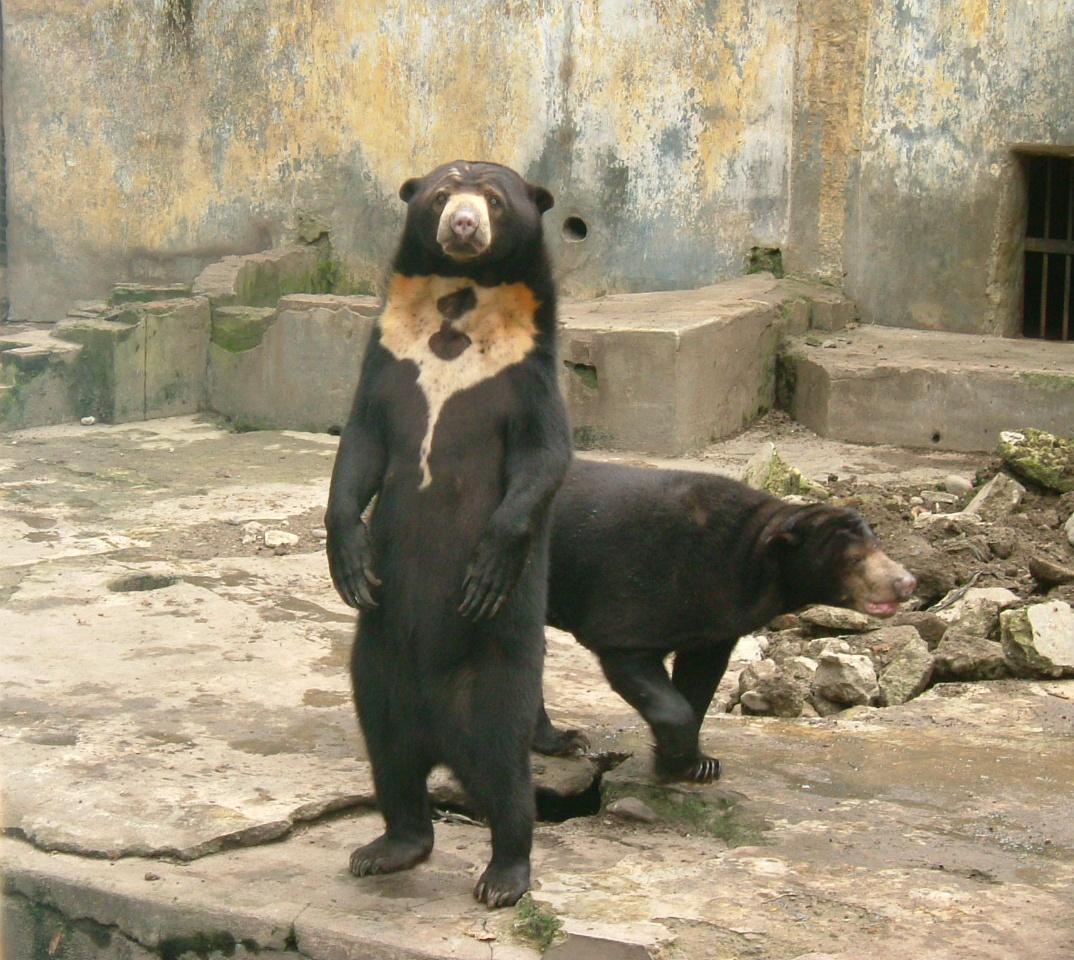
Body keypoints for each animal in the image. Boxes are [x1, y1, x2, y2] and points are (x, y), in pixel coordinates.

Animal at [325, 160, 571, 908]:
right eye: (439, 195)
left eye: (494, 199)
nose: (462, 226)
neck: (458, 304)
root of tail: (438, 730)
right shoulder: (387, 357)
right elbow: (361, 446)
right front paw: (351, 563)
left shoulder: (526, 373)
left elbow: (544, 457)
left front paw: (487, 567)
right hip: (375, 672)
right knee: (390, 760)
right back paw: (387, 848)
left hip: (494, 678)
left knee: (505, 777)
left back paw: (504, 876)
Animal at [532, 459, 916, 782]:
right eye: (854, 559)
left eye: (879, 545)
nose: (906, 582)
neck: (749, 557)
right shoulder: (637, 594)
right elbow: (638, 663)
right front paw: (680, 762)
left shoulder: (713, 626)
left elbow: (699, 681)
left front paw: (696, 764)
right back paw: (569, 740)